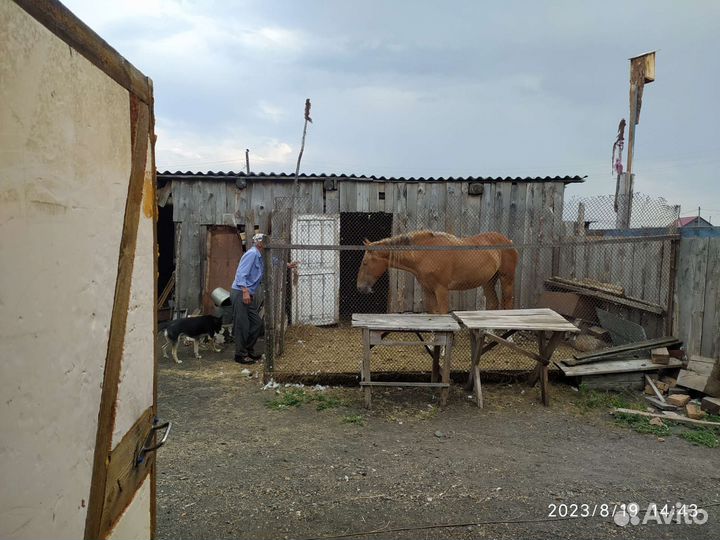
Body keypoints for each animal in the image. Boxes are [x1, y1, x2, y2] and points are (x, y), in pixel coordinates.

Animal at [356, 230, 518, 314]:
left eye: (364, 263)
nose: (360, 288)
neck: (426, 254)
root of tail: (508, 241)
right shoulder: (428, 290)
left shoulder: (441, 290)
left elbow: (443, 314)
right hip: (488, 281)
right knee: (492, 304)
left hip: (507, 279)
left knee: (508, 303)